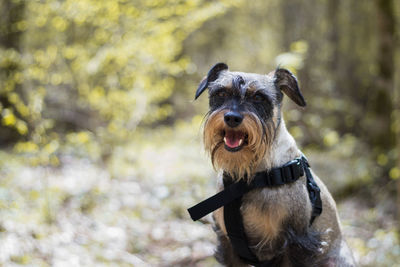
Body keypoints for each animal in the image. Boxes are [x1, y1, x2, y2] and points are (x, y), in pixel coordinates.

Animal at [191, 63, 356, 267]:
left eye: (259, 97)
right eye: (221, 93)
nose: (232, 118)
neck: (250, 177)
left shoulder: (296, 242)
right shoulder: (228, 243)